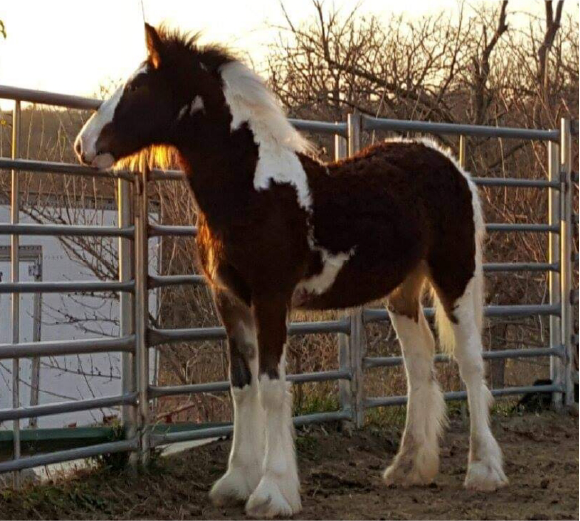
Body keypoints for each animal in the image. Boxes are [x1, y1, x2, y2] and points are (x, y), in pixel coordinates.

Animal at [76, 23, 508, 516]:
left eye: (137, 86)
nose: (83, 146)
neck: (251, 190)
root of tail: (453, 166)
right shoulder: (229, 302)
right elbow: (241, 387)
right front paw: (235, 482)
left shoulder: (270, 298)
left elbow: (270, 387)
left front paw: (273, 491)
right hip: (403, 290)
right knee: (419, 364)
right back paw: (408, 466)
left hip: (455, 276)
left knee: (471, 364)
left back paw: (483, 471)